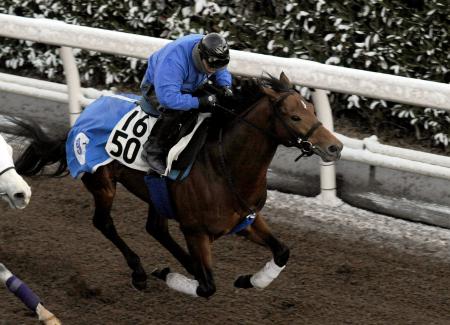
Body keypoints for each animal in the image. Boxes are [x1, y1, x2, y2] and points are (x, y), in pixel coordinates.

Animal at [1, 72, 342, 298]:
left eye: (312, 109)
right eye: (294, 116)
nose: (335, 147)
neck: (224, 165)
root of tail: (81, 119)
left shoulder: (246, 219)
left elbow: (282, 251)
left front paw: (248, 280)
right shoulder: (195, 231)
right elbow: (207, 287)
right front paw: (164, 273)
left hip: (156, 194)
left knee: (156, 228)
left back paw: (185, 265)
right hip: (103, 182)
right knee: (104, 222)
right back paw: (140, 272)